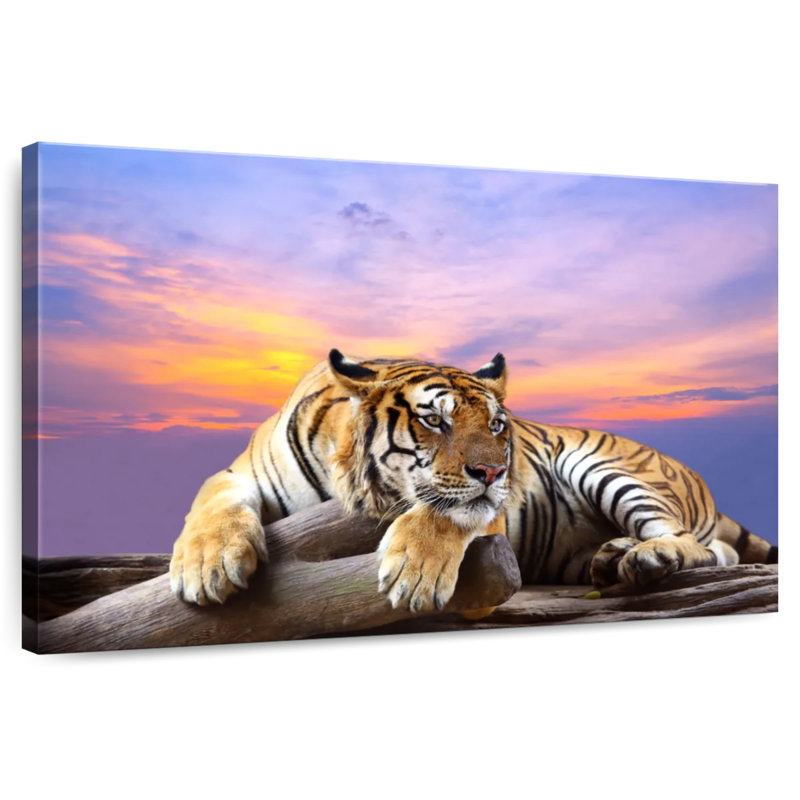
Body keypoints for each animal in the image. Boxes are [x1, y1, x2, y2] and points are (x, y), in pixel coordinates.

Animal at [169, 349, 778, 614]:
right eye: (434, 420)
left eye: (496, 425)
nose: (495, 471)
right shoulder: (239, 473)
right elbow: (210, 503)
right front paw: (206, 568)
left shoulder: (486, 509)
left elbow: (445, 511)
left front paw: (413, 576)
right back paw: (612, 557)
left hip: (607, 468)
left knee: (698, 546)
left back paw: (647, 557)